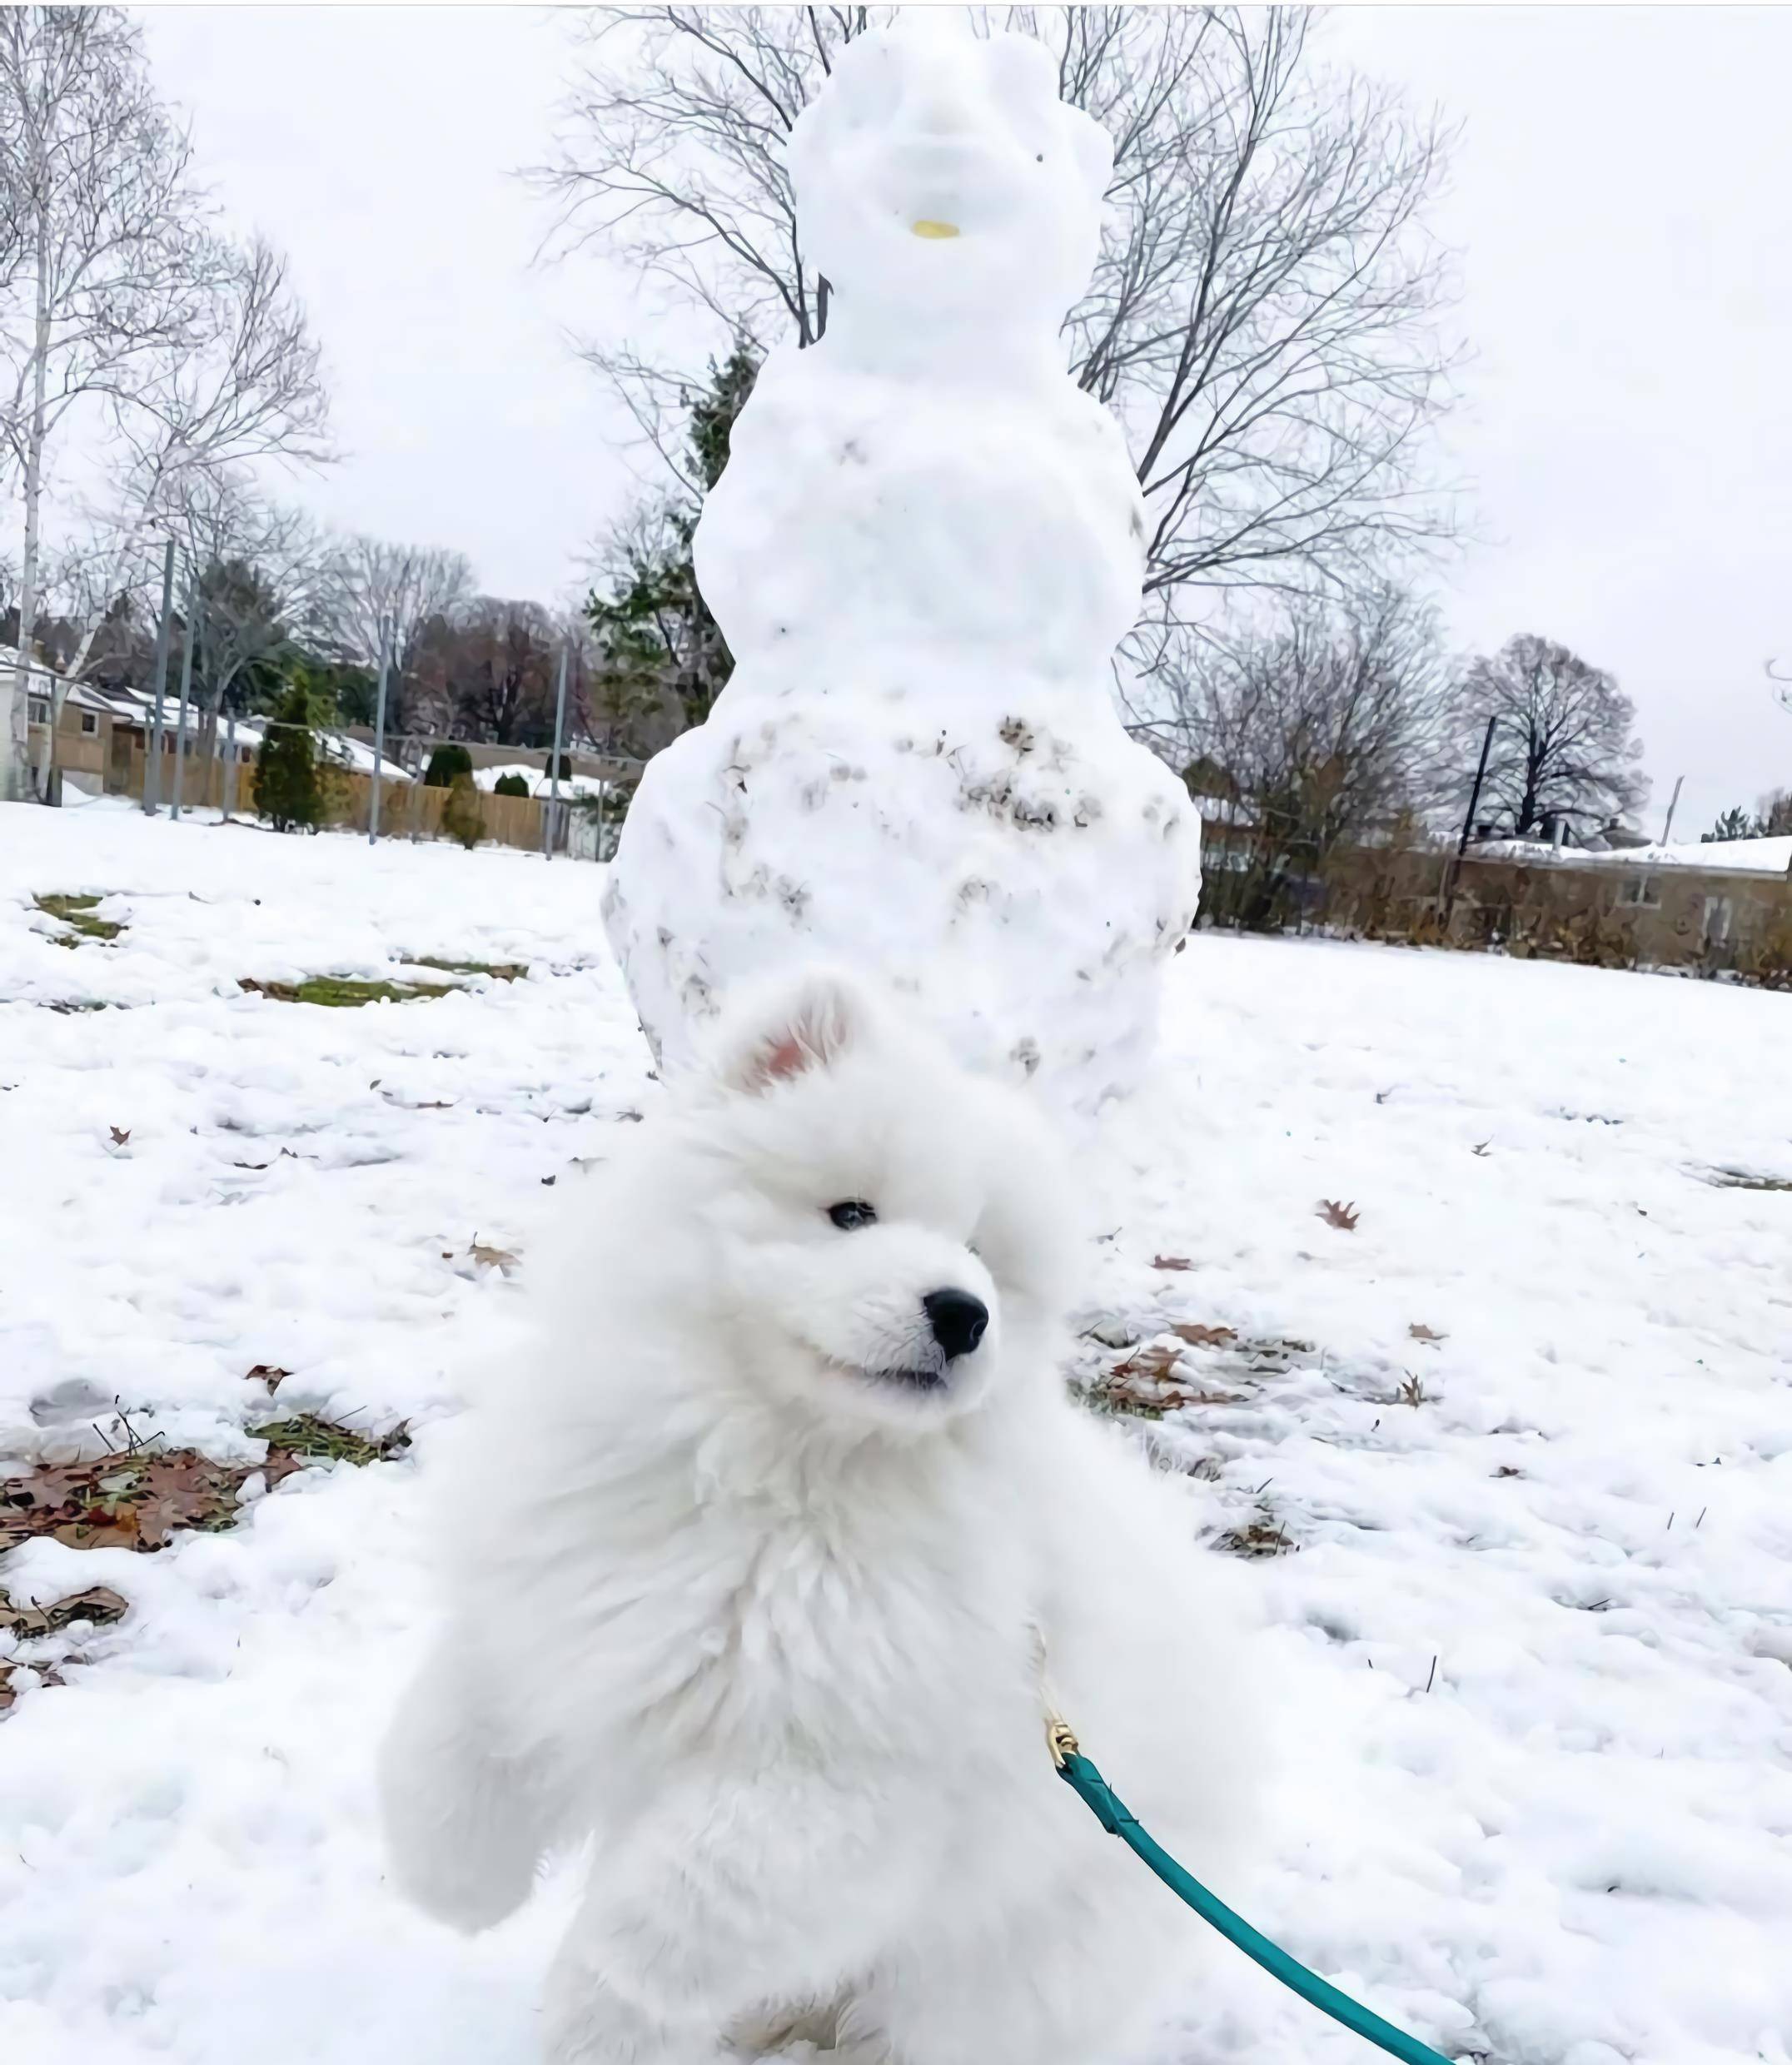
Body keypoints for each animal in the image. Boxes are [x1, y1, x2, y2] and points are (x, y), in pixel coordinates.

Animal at [381, 966, 1263, 2065]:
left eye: (980, 1253)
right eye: (851, 1212)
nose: (963, 1312)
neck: (776, 1472)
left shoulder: (829, 1786)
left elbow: (664, 1921)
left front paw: (598, 2028)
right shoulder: (562, 1606)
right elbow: (449, 1743)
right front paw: (452, 1883)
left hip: (992, 1980)